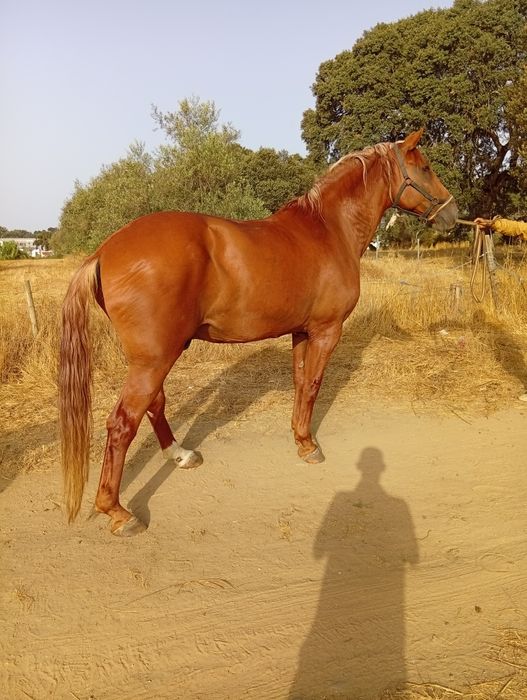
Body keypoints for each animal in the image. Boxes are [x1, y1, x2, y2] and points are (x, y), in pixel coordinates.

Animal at [59, 129, 458, 536]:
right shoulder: (327, 331)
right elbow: (314, 385)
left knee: (154, 406)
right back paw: (118, 512)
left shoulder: (302, 332)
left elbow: (301, 383)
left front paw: (300, 437)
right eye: (425, 167)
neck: (329, 230)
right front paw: (310, 447)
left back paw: (181, 456)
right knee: (122, 424)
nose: (453, 213)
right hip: (153, 361)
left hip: (152, 358)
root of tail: (104, 252)